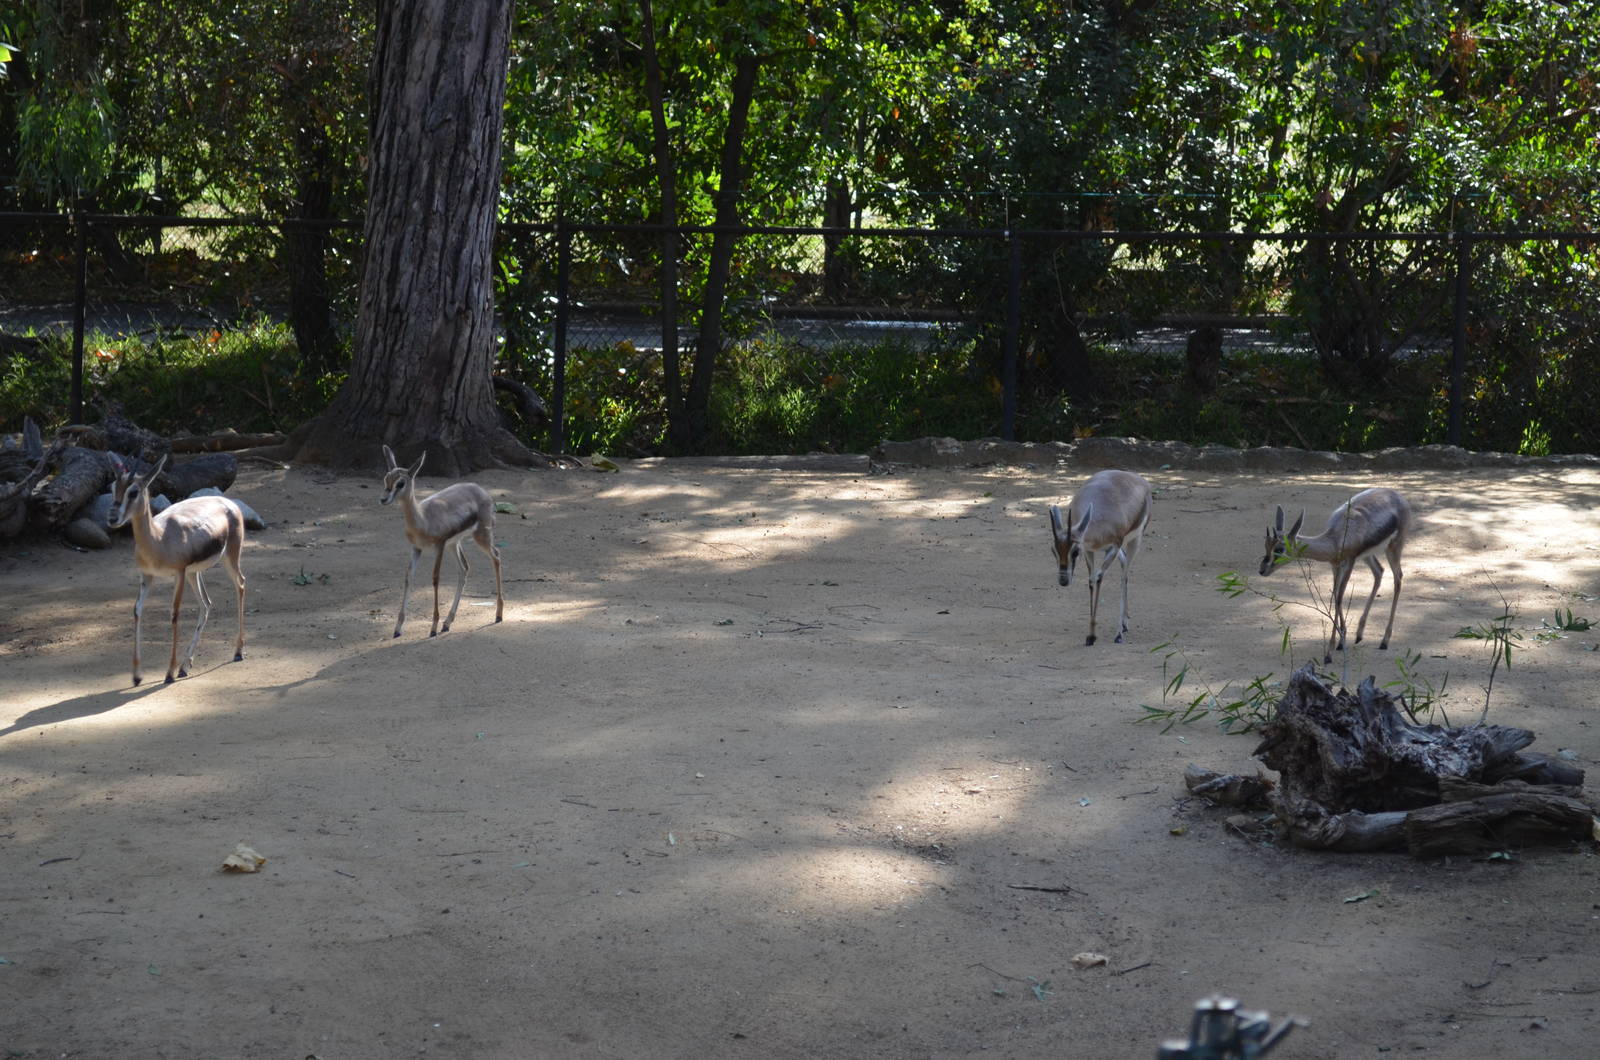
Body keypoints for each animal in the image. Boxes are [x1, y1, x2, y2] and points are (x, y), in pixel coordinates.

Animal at [108, 455, 247, 686]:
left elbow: (174, 614)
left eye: (133, 491)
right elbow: (137, 610)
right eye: (112, 487)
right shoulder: (147, 576)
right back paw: (185, 666)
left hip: (230, 558)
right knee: (206, 604)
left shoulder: (178, 573)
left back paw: (237, 652)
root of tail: (229, 503)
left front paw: (168, 673)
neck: (158, 539)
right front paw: (136, 676)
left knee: (240, 584)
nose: (112, 518)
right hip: (194, 573)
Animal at [380, 445, 504, 638]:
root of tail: (481, 490)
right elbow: (409, 576)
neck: (423, 519)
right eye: (386, 478)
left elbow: (435, 578)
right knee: (464, 568)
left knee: (496, 557)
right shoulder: (417, 548)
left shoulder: (439, 546)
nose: (383, 499)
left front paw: (433, 627)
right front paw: (397, 628)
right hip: (454, 544)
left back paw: (498, 615)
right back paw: (448, 622)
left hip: (481, 536)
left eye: (400, 483)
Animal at [1048, 469, 1153, 646]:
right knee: (1123, 564)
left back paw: (1120, 631)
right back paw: (1124, 623)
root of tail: (1138, 478)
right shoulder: (1090, 550)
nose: (1063, 580)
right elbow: (1091, 580)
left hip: (1134, 540)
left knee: (1124, 574)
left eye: (1074, 552)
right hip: (1116, 550)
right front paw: (1091, 635)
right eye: (1053, 551)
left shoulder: (1113, 546)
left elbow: (1098, 578)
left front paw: (1105, 635)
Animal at [1259, 487, 1412, 663]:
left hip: (1393, 547)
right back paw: (1359, 635)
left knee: (1398, 578)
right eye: (1266, 546)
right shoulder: (1335, 565)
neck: (1335, 539)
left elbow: (1339, 597)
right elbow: (1335, 595)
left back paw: (1384, 641)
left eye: (1279, 549)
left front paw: (1329, 653)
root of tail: (1397, 495)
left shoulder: (1350, 561)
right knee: (1379, 572)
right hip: (1367, 556)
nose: (1262, 570)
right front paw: (1341, 641)